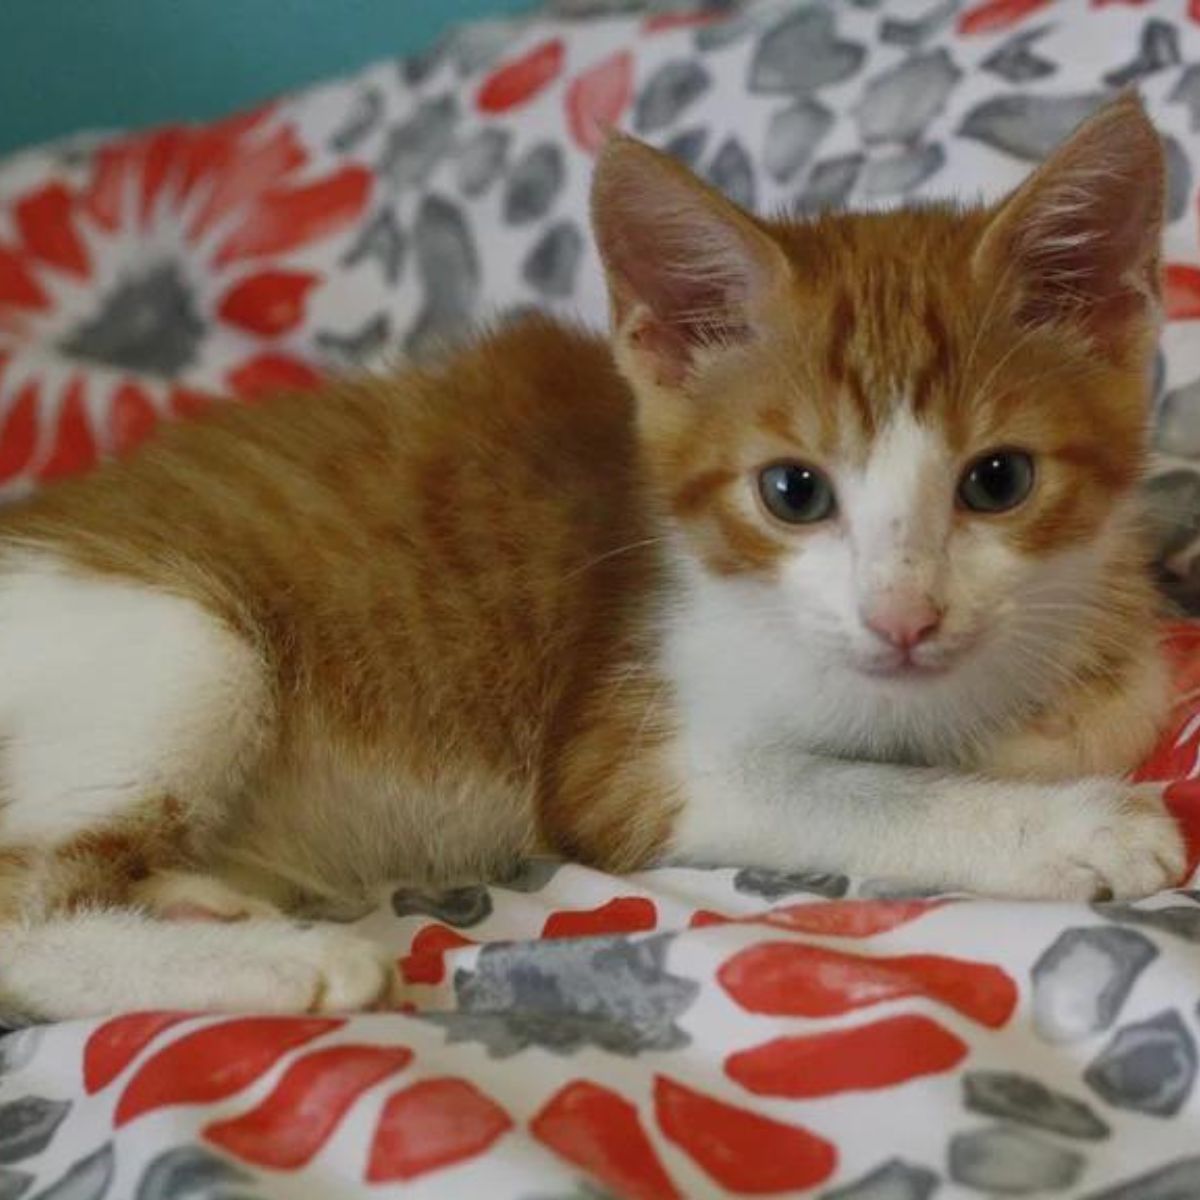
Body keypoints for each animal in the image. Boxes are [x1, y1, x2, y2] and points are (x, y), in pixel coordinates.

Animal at [0, 88, 1185, 1017]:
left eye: (999, 481)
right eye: (793, 492)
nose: (904, 618)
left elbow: (1130, 690)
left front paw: (1043, 718)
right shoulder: (628, 763)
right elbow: (855, 790)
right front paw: (1066, 825)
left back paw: (197, 902)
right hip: (195, 643)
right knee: (19, 915)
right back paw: (288, 966)